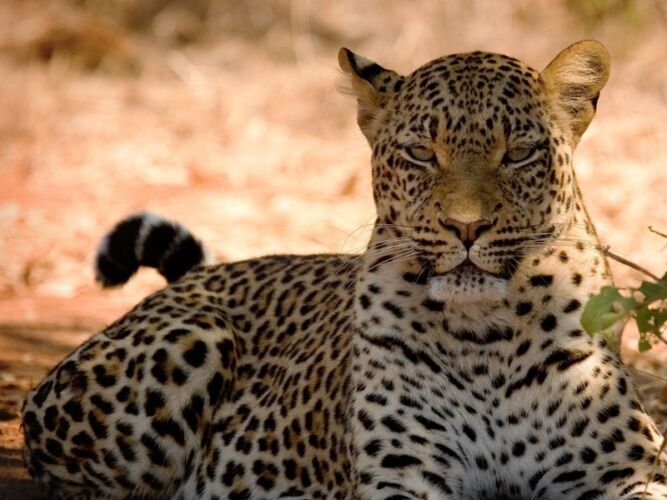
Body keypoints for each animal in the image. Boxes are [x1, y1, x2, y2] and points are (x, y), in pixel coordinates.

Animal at [22, 41, 667, 499]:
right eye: (421, 154)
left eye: (519, 153)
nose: (466, 227)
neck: (485, 335)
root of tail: (199, 277)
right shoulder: (403, 476)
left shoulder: (628, 468)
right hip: (187, 345)